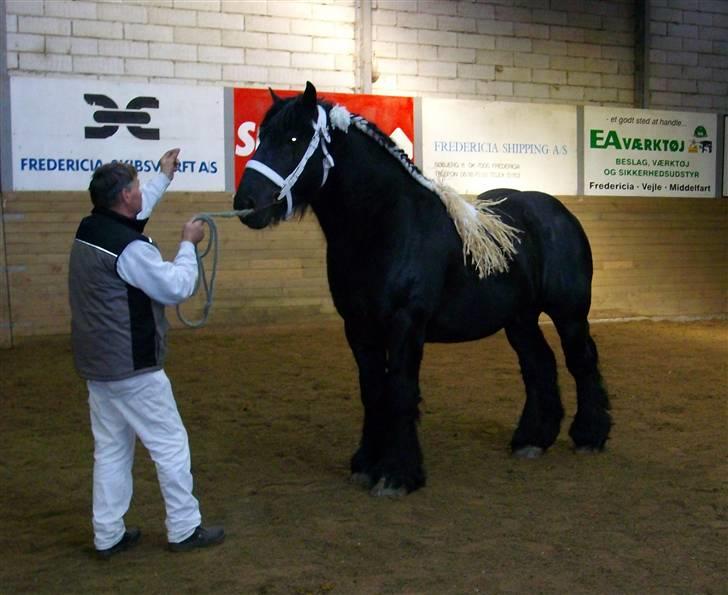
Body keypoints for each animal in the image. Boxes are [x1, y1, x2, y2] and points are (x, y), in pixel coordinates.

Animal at [236, 81, 612, 496]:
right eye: (260, 137)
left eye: (293, 138)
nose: (246, 203)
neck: (384, 223)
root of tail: (559, 213)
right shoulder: (358, 328)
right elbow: (373, 392)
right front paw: (366, 463)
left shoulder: (406, 324)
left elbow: (400, 391)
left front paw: (398, 474)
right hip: (520, 319)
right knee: (539, 364)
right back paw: (532, 439)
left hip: (569, 313)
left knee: (581, 361)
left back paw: (590, 436)